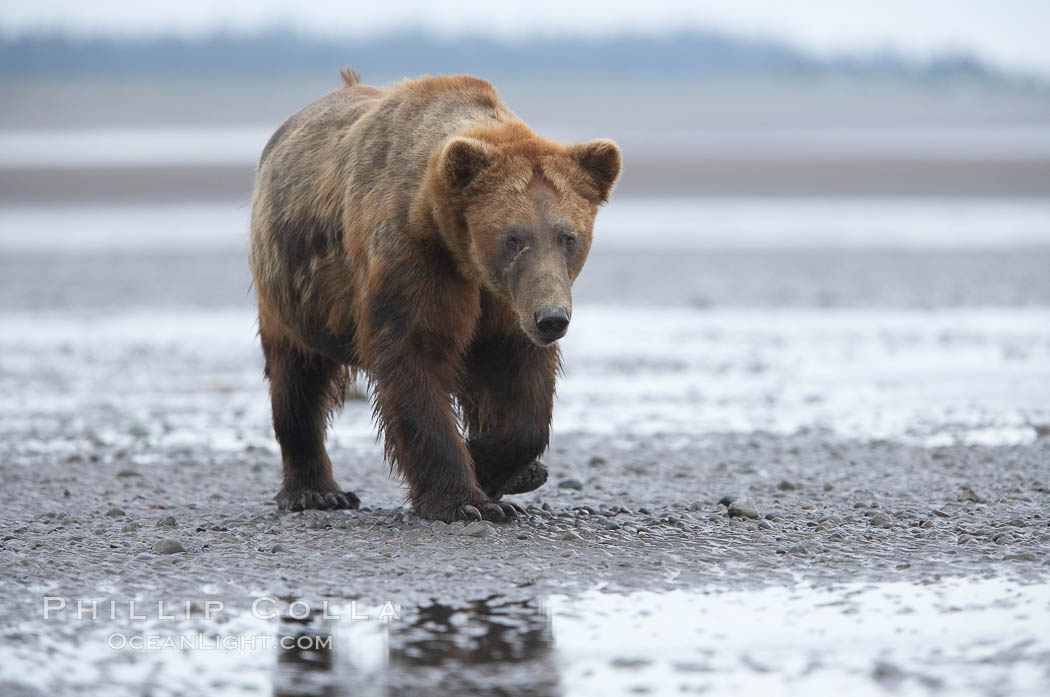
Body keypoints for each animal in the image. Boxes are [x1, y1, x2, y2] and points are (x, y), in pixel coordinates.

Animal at [248, 69, 617, 522]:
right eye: (513, 239)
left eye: (568, 237)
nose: (551, 318)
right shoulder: (415, 259)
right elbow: (415, 357)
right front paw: (466, 500)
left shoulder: (506, 301)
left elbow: (522, 381)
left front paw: (494, 463)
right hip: (290, 292)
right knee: (296, 380)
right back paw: (316, 492)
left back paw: (526, 473)